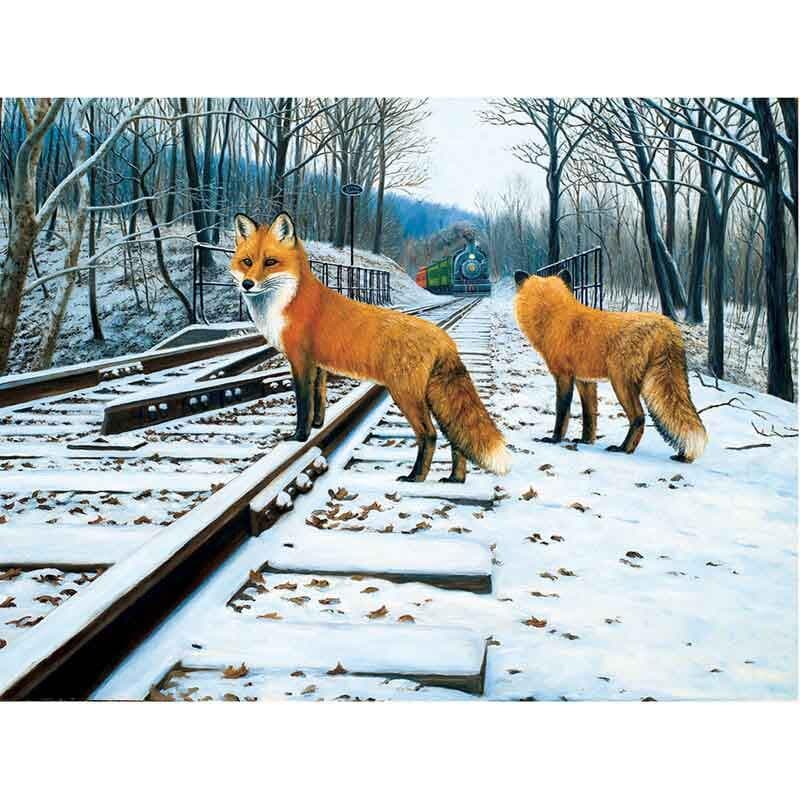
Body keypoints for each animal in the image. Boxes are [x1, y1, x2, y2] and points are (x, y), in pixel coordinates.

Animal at [229, 211, 510, 482]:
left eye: (270, 262)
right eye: (247, 262)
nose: (247, 284)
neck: (287, 301)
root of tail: (443, 336)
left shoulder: (301, 361)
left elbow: (304, 406)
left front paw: (300, 437)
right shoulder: (318, 366)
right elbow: (319, 401)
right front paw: (319, 427)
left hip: (405, 394)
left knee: (429, 435)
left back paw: (415, 477)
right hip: (433, 398)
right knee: (454, 438)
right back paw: (455, 479)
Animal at [513, 268, 707, 462]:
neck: (552, 316)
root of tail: (666, 325)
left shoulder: (564, 376)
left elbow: (562, 411)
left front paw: (554, 439)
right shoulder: (585, 380)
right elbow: (589, 415)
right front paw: (586, 441)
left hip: (621, 383)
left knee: (639, 417)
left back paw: (623, 449)